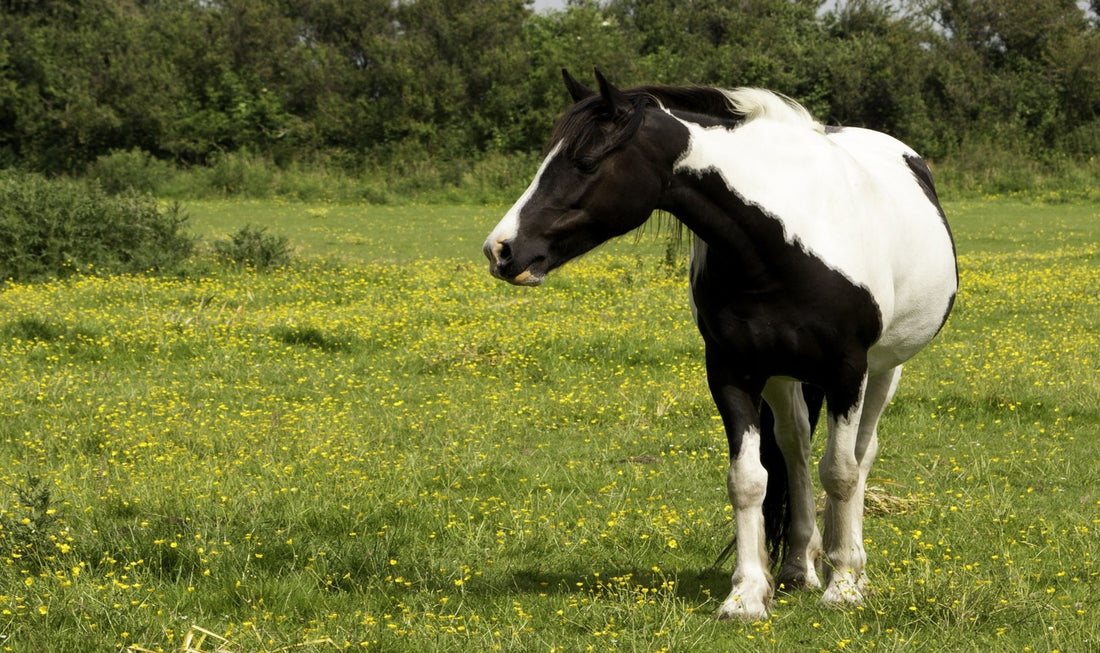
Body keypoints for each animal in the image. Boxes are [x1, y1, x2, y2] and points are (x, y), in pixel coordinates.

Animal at [481, 68, 954, 615]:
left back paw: (850, 568)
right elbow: (748, 480)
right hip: (782, 376)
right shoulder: (732, 371)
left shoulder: (846, 371)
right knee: (795, 447)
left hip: (883, 371)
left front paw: (844, 587)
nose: (501, 250)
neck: (787, 242)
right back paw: (799, 565)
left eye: (586, 161)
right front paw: (747, 595)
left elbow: (841, 471)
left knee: (861, 454)